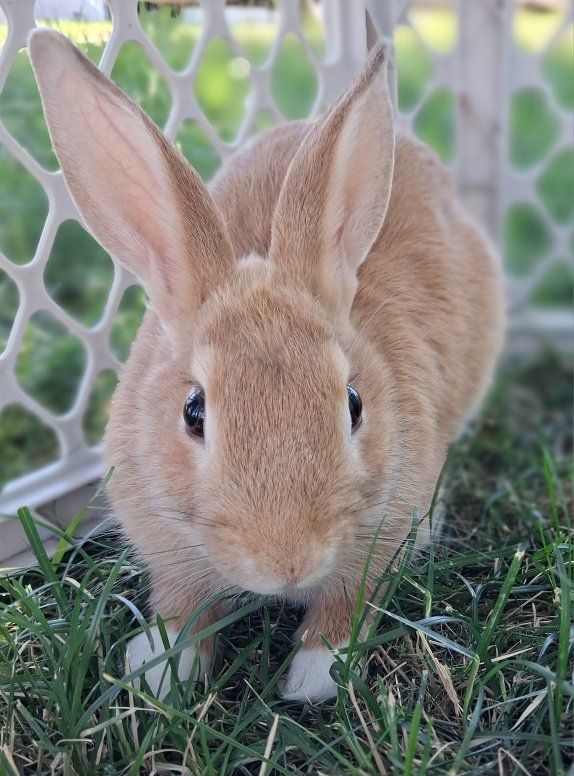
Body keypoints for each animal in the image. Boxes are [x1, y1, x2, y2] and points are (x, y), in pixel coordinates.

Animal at [29, 28, 505, 704]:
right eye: (193, 412)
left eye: (354, 404)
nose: (289, 562)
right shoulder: (165, 545)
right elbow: (183, 603)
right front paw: (164, 669)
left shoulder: (387, 532)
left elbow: (349, 601)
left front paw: (314, 675)